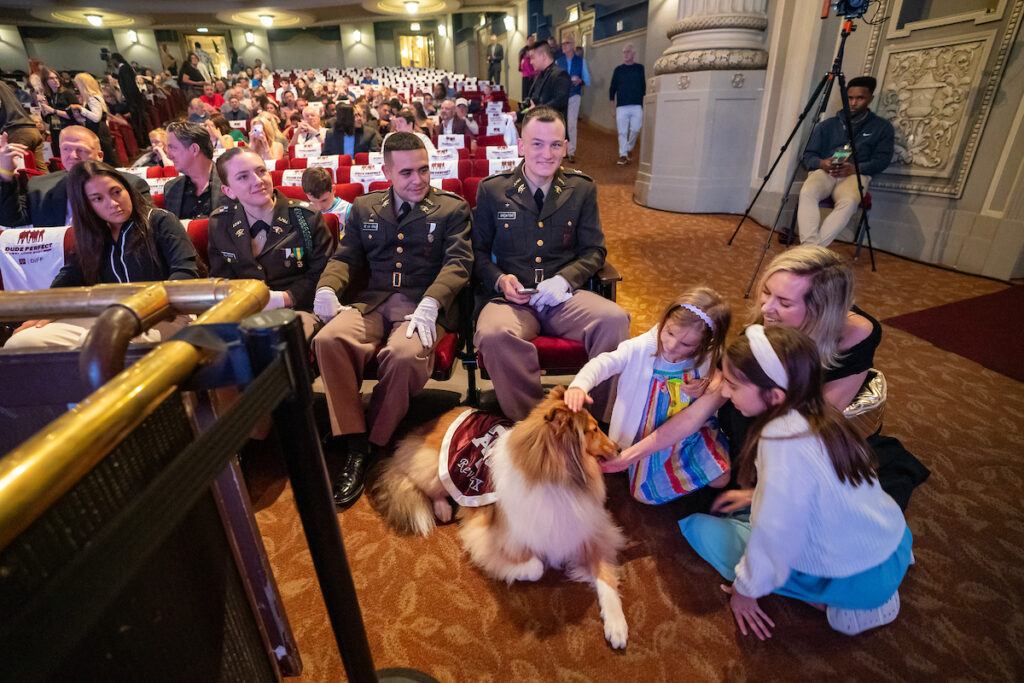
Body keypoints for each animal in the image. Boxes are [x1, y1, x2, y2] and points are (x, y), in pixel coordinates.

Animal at [372, 387, 626, 651]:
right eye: (594, 429)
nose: (619, 449)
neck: (557, 480)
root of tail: (450, 412)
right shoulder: (490, 535)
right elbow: (535, 567)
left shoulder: (589, 529)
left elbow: (605, 576)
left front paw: (617, 627)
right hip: (432, 468)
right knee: (423, 484)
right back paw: (442, 509)